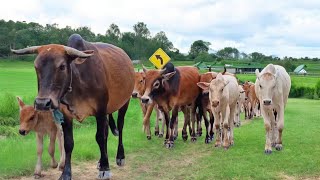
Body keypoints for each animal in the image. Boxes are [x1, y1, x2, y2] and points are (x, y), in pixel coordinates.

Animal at [11, 34, 135, 180]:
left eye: (62, 66)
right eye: (36, 66)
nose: (42, 103)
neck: (77, 81)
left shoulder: (100, 110)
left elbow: (99, 137)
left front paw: (105, 169)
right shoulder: (66, 115)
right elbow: (68, 143)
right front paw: (66, 173)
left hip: (125, 102)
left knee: (119, 127)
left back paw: (119, 157)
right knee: (106, 131)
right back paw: (100, 161)